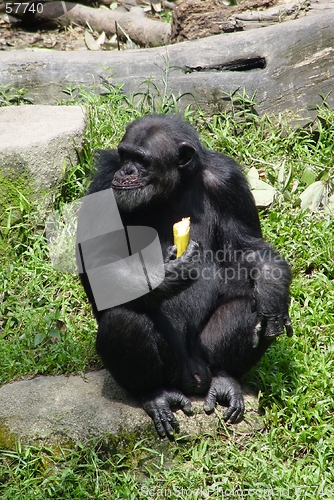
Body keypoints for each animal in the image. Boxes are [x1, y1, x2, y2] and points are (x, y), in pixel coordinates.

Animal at [78, 114, 292, 438]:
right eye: (125, 156)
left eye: (141, 160)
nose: (126, 171)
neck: (173, 188)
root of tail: (193, 379)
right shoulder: (104, 183)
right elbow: (97, 260)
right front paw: (167, 276)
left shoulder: (228, 181)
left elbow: (249, 248)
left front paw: (272, 292)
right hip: (171, 367)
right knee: (123, 321)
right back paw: (155, 395)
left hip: (204, 356)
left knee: (251, 311)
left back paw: (225, 379)